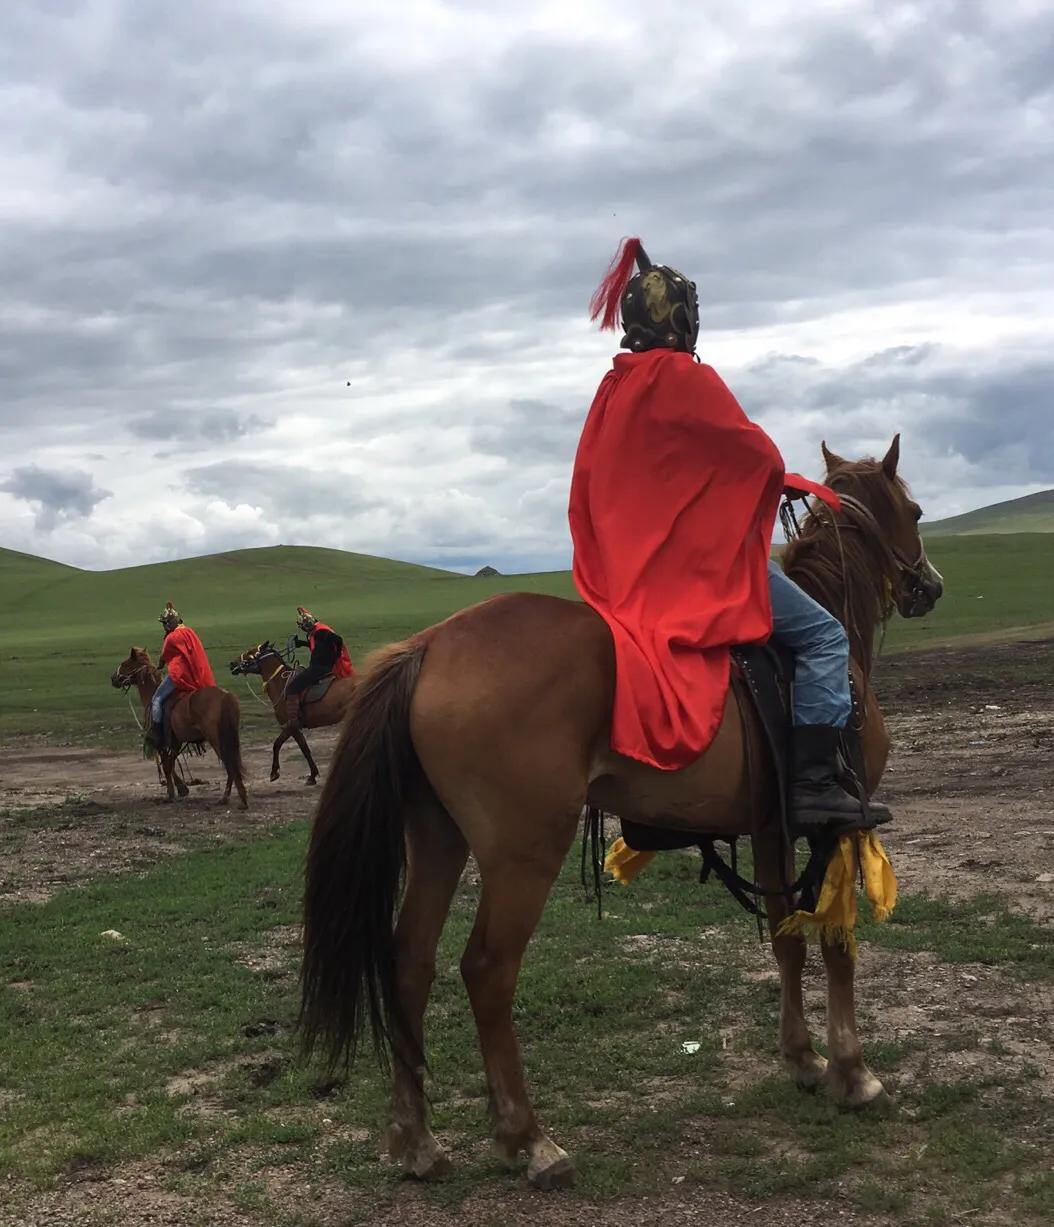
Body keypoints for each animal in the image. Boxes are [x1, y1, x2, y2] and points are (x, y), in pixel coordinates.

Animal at [110, 648, 249, 810]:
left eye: (125, 663)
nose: (113, 678)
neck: (153, 696)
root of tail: (225, 696)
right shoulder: (176, 742)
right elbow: (170, 763)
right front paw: (182, 788)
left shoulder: (161, 742)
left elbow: (166, 765)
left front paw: (172, 792)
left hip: (216, 739)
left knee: (229, 764)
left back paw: (231, 798)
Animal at [229, 641, 357, 785]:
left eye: (250, 652)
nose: (232, 664)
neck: (281, 684)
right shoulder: (295, 728)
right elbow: (304, 748)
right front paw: (313, 775)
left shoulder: (291, 726)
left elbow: (278, 744)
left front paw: (274, 772)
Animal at [299, 436, 944, 1190]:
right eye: (915, 511)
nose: (930, 585)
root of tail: (430, 646)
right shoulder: (840, 820)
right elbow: (839, 946)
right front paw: (853, 1072)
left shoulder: (771, 825)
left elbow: (787, 938)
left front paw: (804, 1059)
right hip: (524, 852)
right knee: (487, 969)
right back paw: (529, 1139)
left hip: (437, 838)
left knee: (409, 963)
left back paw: (416, 1140)